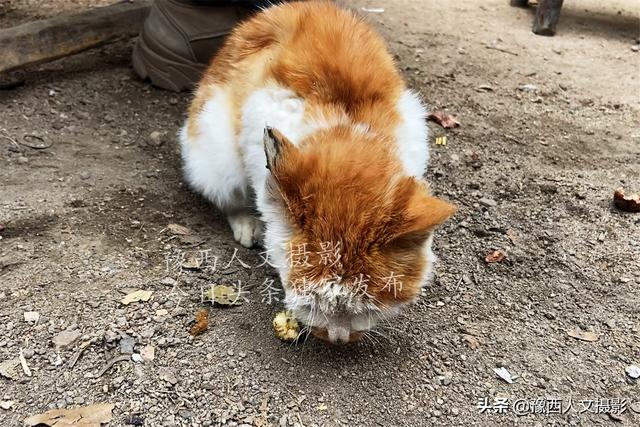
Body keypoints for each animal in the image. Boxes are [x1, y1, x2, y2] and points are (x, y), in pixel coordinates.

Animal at [180, 0, 456, 344]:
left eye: (367, 309)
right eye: (312, 304)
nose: (338, 339)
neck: (347, 128)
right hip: (216, 154)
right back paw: (247, 225)